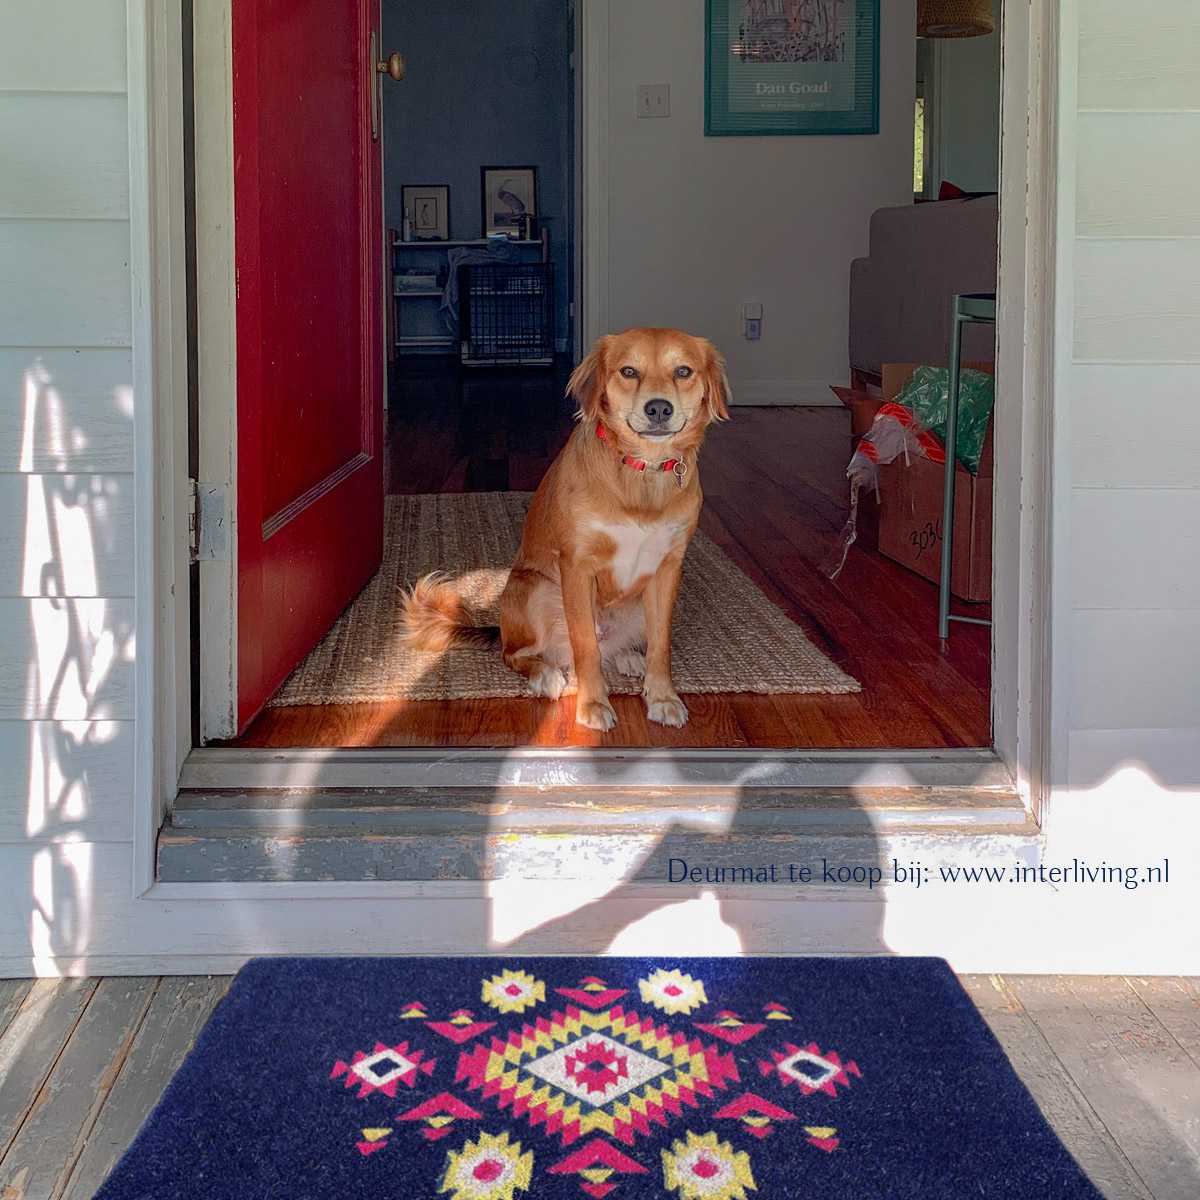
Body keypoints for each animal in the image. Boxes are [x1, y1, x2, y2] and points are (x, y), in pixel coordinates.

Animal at [400, 324, 729, 724]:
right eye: (628, 371)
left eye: (683, 371)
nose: (658, 408)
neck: (642, 472)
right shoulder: (576, 566)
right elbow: (585, 645)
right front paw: (593, 704)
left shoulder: (667, 568)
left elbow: (660, 643)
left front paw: (662, 697)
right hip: (535, 590)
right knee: (518, 654)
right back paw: (546, 674)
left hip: (635, 600)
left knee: (614, 647)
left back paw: (628, 657)